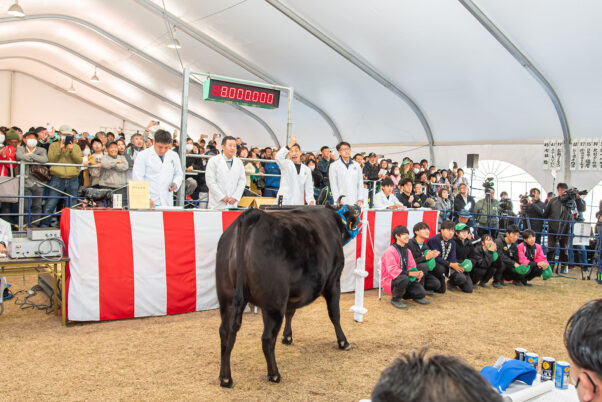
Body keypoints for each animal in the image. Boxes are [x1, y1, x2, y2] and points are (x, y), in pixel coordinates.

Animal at [214, 203, 358, 388]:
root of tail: (252, 216)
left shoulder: (293, 293)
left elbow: (291, 312)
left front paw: (287, 337)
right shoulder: (334, 281)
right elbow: (335, 314)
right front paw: (343, 342)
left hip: (228, 299)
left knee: (225, 333)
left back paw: (225, 378)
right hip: (273, 302)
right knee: (267, 338)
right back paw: (274, 374)